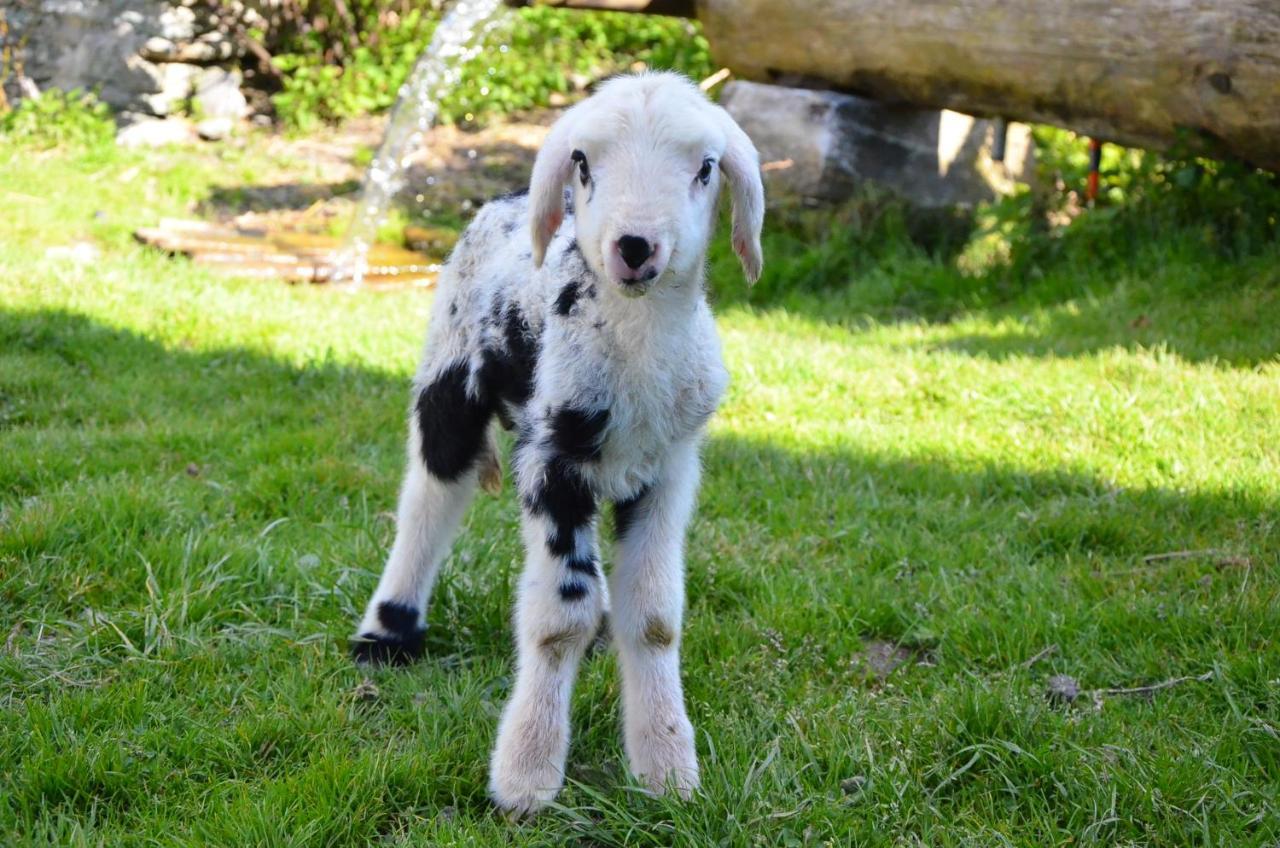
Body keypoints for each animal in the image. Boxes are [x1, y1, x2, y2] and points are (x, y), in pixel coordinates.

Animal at [353, 71, 757, 819]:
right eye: (583, 162)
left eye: (706, 168)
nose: (635, 246)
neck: (637, 350)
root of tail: (509, 196)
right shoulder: (552, 463)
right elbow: (557, 616)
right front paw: (526, 775)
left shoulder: (672, 468)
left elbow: (654, 617)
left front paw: (666, 771)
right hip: (449, 363)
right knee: (431, 492)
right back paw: (387, 632)